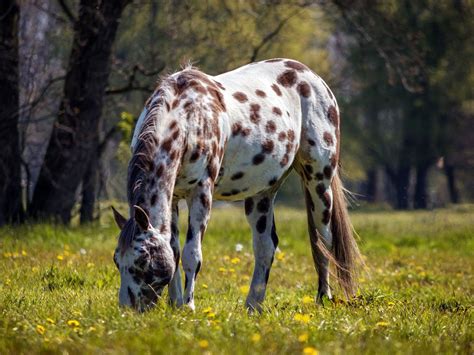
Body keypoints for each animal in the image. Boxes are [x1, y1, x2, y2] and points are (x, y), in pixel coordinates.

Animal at [112, 57, 362, 312]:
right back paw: (253, 306)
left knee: (323, 242)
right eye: (116, 260)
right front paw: (175, 304)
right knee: (265, 248)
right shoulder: (173, 198)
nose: (128, 310)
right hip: (262, 194)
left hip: (319, 182)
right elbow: (174, 250)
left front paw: (188, 306)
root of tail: (314, 78)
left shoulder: (201, 193)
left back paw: (323, 298)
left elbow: (192, 254)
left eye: (142, 260)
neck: (188, 117)